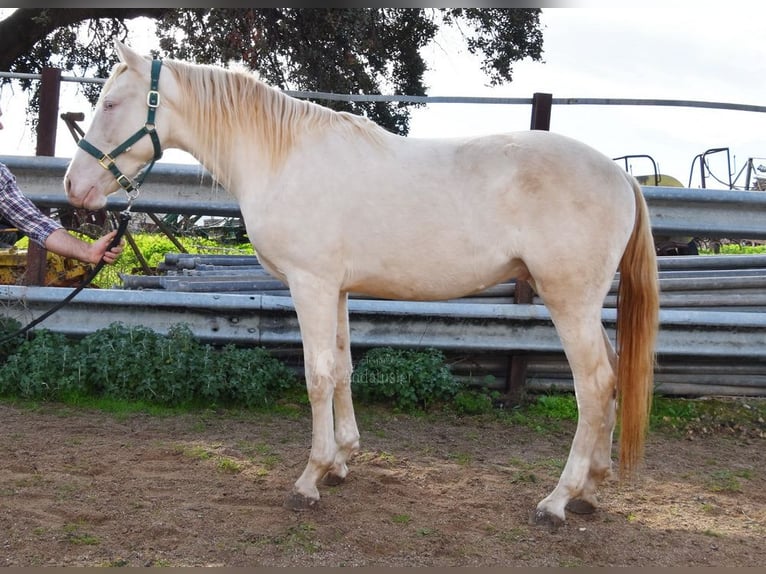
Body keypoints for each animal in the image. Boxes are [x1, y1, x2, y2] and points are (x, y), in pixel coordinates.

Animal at [63, 39, 660, 528]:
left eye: (111, 105)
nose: (73, 187)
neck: (282, 156)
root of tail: (621, 175)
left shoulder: (310, 285)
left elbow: (317, 376)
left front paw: (310, 478)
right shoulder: (339, 289)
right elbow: (344, 368)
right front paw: (342, 460)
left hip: (568, 301)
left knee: (594, 385)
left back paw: (557, 500)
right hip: (584, 305)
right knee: (610, 379)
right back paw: (590, 491)